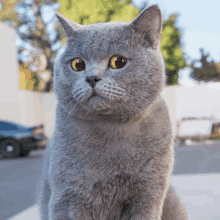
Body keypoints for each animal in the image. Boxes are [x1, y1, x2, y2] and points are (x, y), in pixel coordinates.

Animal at [37, 5, 187, 220]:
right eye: (77, 64)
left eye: (119, 61)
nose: (92, 78)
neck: (112, 127)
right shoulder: (68, 197)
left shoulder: (149, 193)